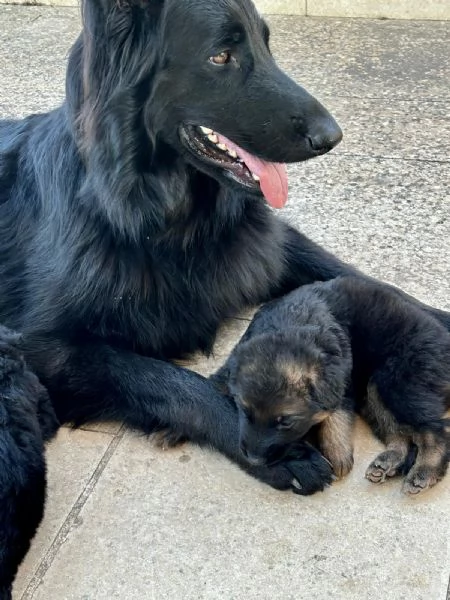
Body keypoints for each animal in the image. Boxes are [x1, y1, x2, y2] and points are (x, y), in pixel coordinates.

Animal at [213, 274, 450, 494]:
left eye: (286, 422)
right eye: (244, 412)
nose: (254, 460)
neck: (291, 325)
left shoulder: (342, 382)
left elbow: (336, 416)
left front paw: (337, 453)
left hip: (400, 385)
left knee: (435, 432)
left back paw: (425, 470)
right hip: (376, 392)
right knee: (399, 433)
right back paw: (388, 461)